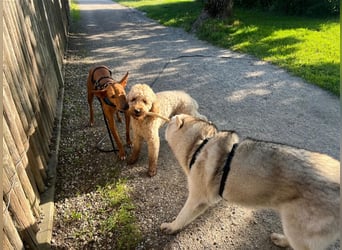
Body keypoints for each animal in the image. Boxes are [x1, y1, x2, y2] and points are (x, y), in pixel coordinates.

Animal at [162, 114, 340, 250]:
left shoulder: (196, 198)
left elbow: (182, 216)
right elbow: (188, 218)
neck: (201, 142)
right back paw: (281, 240)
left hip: (299, 229)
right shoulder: (204, 202)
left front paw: (171, 227)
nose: (168, 119)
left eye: (170, 121)